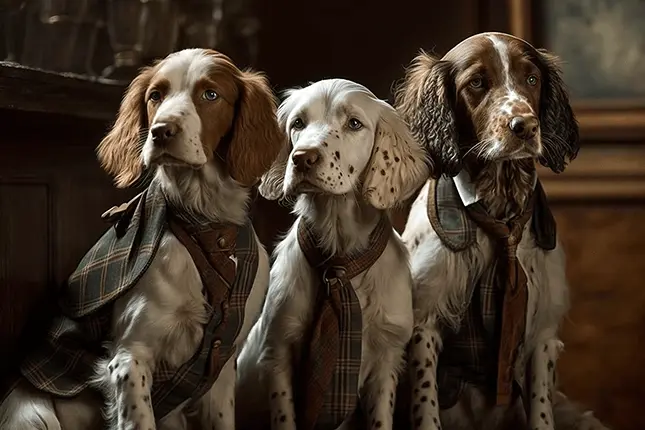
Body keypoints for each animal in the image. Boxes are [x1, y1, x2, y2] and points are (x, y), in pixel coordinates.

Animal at [0, 47, 282, 430]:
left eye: (211, 95)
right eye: (155, 95)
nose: (161, 131)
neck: (206, 228)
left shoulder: (221, 362)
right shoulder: (130, 357)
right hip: (33, 415)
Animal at [234, 78, 430, 430]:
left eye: (354, 123)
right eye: (298, 123)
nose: (303, 158)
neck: (339, 261)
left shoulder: (387, 358)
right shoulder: (277, 350)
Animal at [392, 32, 608, 430]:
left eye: (532, 79)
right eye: (477, 83)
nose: (525, 126)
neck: (499, 208)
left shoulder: (541, 333)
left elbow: (540, 409)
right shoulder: (425, 324)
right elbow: (426, 405)